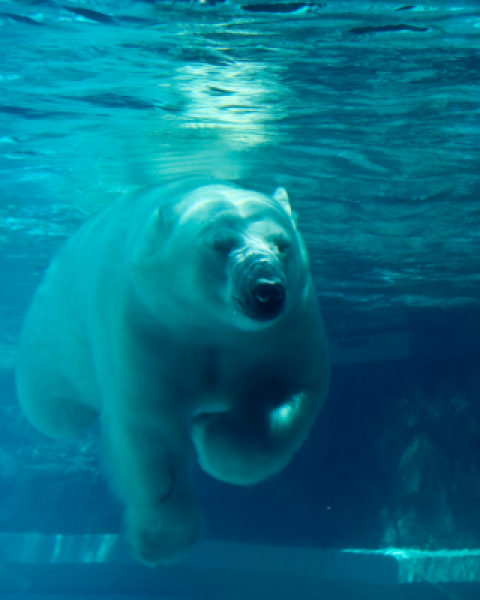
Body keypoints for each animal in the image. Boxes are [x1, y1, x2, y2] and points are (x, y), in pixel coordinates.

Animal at [15, 179, 330, 568]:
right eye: (220, 244)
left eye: (281, 244)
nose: (267, 291)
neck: (211, 326)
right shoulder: (147, 324)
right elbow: (150, 432)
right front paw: (162, 541)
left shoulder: (287, 329)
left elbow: (294, 391)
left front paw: (211, 433)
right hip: (52, 334)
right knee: (54, 411)